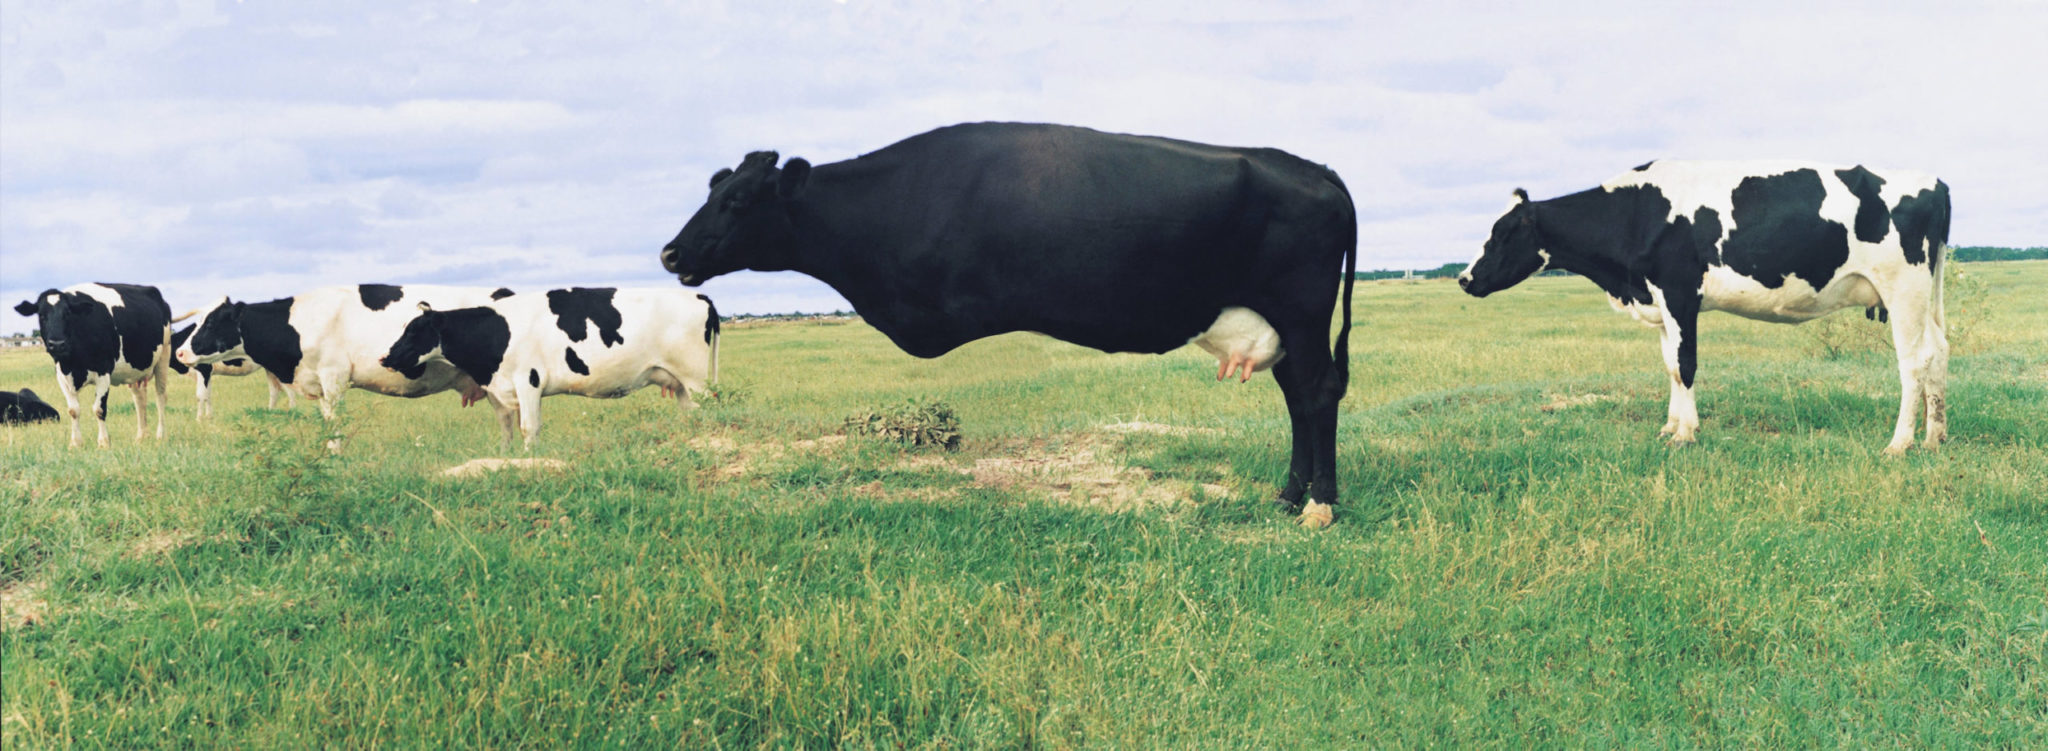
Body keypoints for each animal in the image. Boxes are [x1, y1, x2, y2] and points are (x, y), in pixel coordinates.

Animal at [12, 283, 174, 447]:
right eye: (41, 315)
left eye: (67, 313)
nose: (57, 344)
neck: (72, 363)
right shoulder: (62, 375)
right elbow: (73, 410)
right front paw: (75, 443)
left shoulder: (103, 372)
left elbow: (99, 409)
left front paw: (103, 442)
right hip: (135, 371)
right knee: (139, 399)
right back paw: (141, 437)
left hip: (164, 356)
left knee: (161, 397)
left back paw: (161, 436)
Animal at [168, 323, 297, 419]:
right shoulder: (208, 373)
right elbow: (208, 394)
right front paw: (209, 417)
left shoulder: (203, 369)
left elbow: (200, 395)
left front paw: (199, 419)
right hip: (269, 369)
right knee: (274, 390)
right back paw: (270, 412)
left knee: (290, 390)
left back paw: (292, 412)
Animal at [378, 287, 721, 450]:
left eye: (414, 331)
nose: (385, 358)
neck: (497, 331)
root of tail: (699, 294)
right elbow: (513, 429)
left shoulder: (528, 380)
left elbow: (528, 427)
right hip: (680, 382)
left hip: (696, 377)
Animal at [657, 122, 1357, 527]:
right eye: (713, 190)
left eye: (738, 200)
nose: (670, 252)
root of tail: (1316, 169)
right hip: (1284, 328)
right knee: (1297, 398)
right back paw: (1287, 497)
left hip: (1301, 312)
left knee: (1318, 394)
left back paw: (1319, 506)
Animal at [1458, 160, 1950, 454]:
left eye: (1501, 233)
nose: (1464, 278)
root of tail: (1934, 180)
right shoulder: (1660, 300)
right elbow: (1671, 366)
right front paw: (1670, 426)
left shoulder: (1679, 291)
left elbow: (1687, 364)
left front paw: (1686, 433)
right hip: (1926, 292)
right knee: (1938, 350)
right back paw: (1934, 436)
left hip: (1903, 287)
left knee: (1913, 362)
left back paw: (1900, 443)